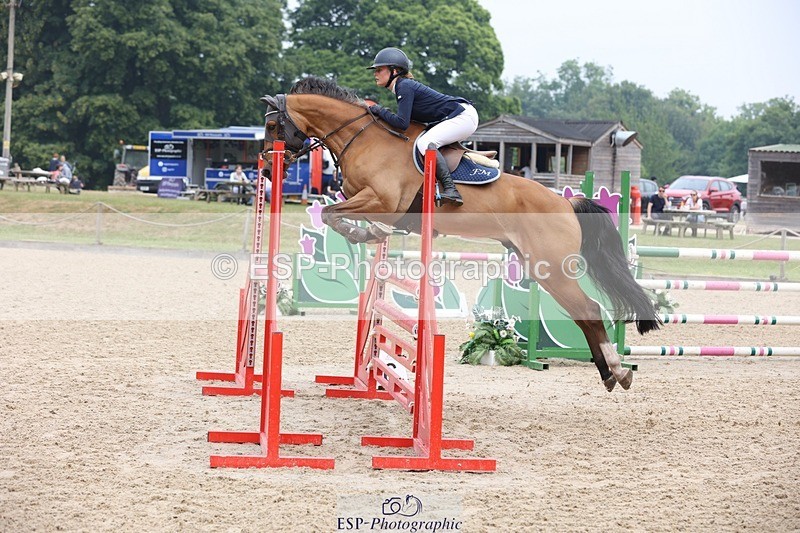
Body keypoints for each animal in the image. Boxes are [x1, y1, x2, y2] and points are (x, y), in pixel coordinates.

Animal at [261, 76, 660, 392]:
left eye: (273, 127)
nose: (265, 170)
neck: (362, 137)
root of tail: (567, 203)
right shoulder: (366, 198)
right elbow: (335, 212)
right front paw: (371, 233)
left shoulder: (380, 199)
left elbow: (331, 213)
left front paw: (362, 233)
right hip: (540, 267)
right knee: (583, 315)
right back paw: (609, 374)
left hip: (553, 268)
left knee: (590, 311)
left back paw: (618, 371)